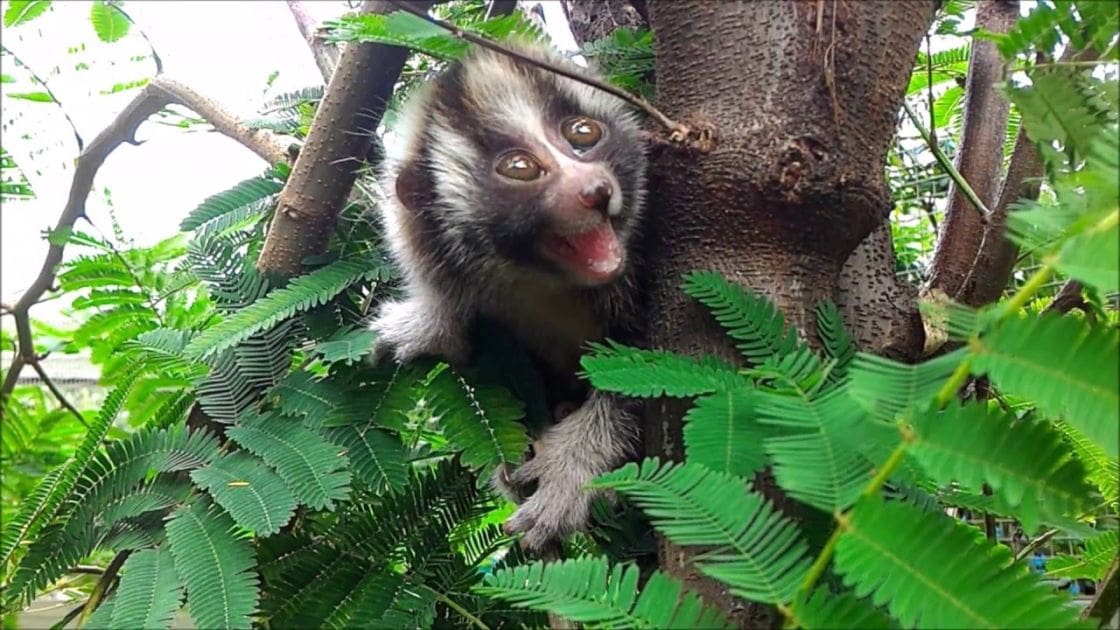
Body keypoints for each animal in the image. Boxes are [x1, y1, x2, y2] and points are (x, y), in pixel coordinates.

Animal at [369, 38, 648, 552]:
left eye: (583, 133)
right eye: (520, 168)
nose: (595, 189)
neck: (540, 281)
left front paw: (567, 476)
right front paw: (430, 325)